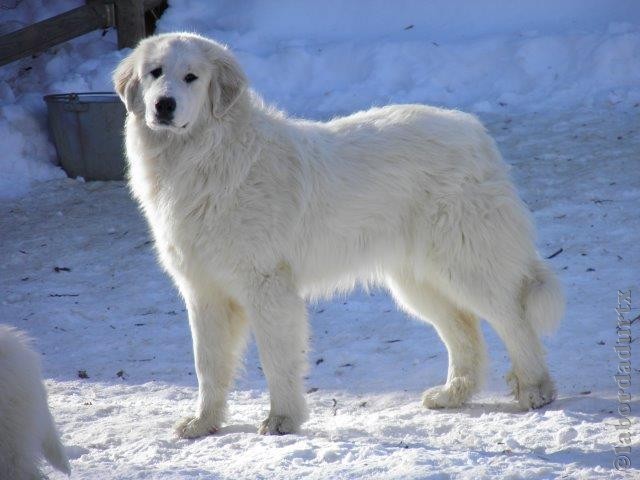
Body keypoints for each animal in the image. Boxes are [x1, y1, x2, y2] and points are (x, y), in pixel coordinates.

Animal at [112, 32, 564, 438]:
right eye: (155, 73)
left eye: (191, 77)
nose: (163, 105)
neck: (204, 156)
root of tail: (475, 133)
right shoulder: (203, 292)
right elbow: (207, 365)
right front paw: (204, 423)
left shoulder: (266, 286)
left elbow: (276, 359)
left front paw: (282, 420)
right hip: (417, 281)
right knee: (464, 329)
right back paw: (454, 394)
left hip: (466, 264)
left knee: (513, 318)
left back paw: (535, 390)